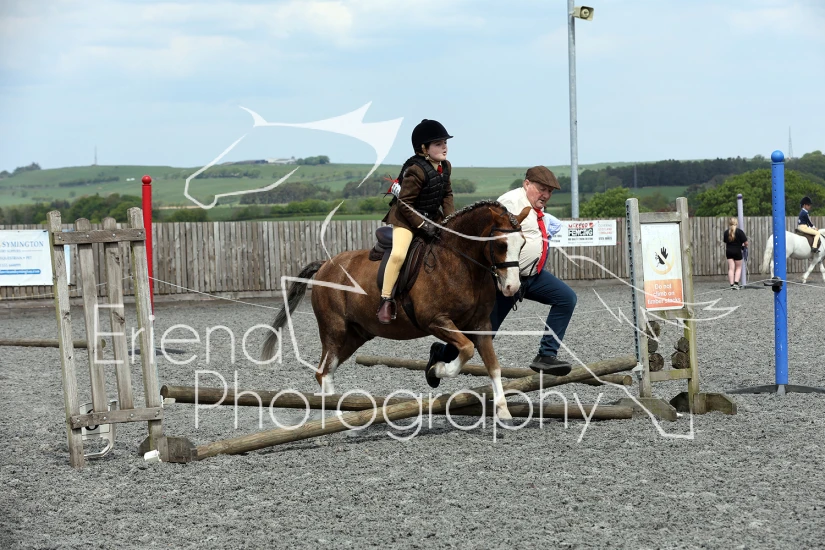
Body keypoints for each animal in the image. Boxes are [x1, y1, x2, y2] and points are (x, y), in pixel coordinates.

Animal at [262, 200, 531, 420]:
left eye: (523, 244)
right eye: (501, 244)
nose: (512, 287)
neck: (461, 262)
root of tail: (325, 264)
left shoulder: (481, 325)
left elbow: (493, 365)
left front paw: (503, 411)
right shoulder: (435, 321)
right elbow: (465, 348)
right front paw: (437, 370)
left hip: (357, 334)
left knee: (325, 371)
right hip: (334, 329)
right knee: (325, 371)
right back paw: (339, 420)